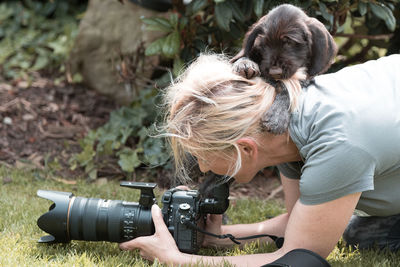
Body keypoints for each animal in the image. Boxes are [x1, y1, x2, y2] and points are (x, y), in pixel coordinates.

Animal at [231, 3, 338, 135]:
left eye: (289, 42)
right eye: (265, 44)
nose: (274, 72)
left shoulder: (305, 78)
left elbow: (288, 88)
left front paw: (277, 116)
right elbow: (243, 56)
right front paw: (245, 63)